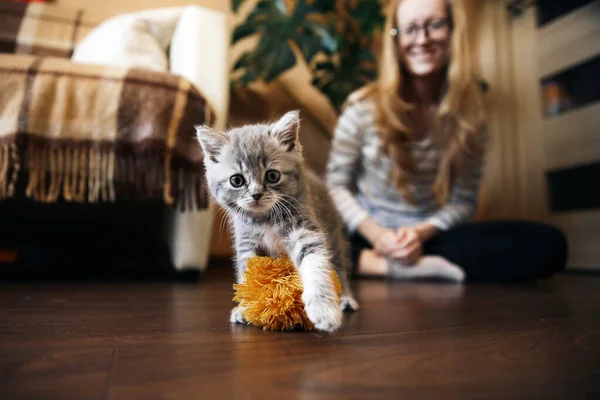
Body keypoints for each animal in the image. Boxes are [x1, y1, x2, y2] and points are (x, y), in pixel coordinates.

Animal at [197, 109, 358, 332]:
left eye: (272, 176)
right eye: (236, 180)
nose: (256, 195)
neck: (265, 219)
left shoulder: (303, 229)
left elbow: (315, 265)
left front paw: (323, 308)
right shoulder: (247, 242)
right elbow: (248, 275)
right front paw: (244, 308)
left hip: (333, 235)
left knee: (339, 266)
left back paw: (345, 299)